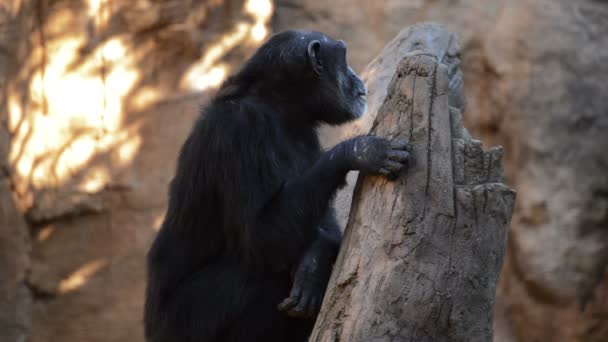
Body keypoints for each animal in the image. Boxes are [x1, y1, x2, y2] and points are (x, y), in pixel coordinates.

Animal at [144, 30, 408, 342]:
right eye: (343, 58)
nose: (355, 75)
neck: (279, 109)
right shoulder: (239, 129)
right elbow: (260, 235)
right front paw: (359, 151)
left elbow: (323, 221)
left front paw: (314, 262)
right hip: (183, 323)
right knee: (259, 276)